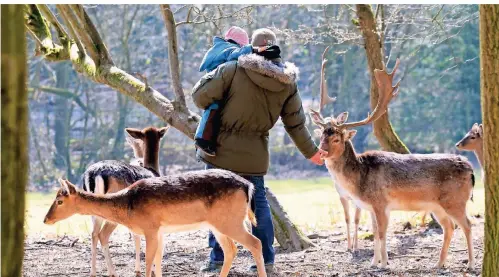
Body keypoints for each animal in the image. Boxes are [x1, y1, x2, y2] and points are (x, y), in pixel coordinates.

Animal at [45, 168, 268, 276]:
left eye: (60, 200)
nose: (46, 219)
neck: (128, 206)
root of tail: (248, 186)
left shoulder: (150, 229)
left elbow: (149, 263)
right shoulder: (161, 232)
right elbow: (158, 263)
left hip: (230, 222)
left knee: (255, 243)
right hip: (220, 225)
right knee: (232, 250)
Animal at [80, 125, 168, 276]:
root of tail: (93, 175)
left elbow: (136, 236)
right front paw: (144, 271)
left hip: (93, 209)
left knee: (94, 234)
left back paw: (94, 273)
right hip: (112, 209)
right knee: (103, 234)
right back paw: (112, 272)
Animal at [308, 58, 476, 268]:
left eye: (337, 139)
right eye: (322, 135)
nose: (322, 152)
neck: (360, 180)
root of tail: (471, 169)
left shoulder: (381, 202)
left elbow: (381, 233)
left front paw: (383, 264)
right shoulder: (371, 207)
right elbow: (375, 233)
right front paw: (374, 262)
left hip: (455, 200)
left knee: (467, 225)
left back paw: (470, 264)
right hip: (438, 206)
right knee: (450, 227)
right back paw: (439, 263)